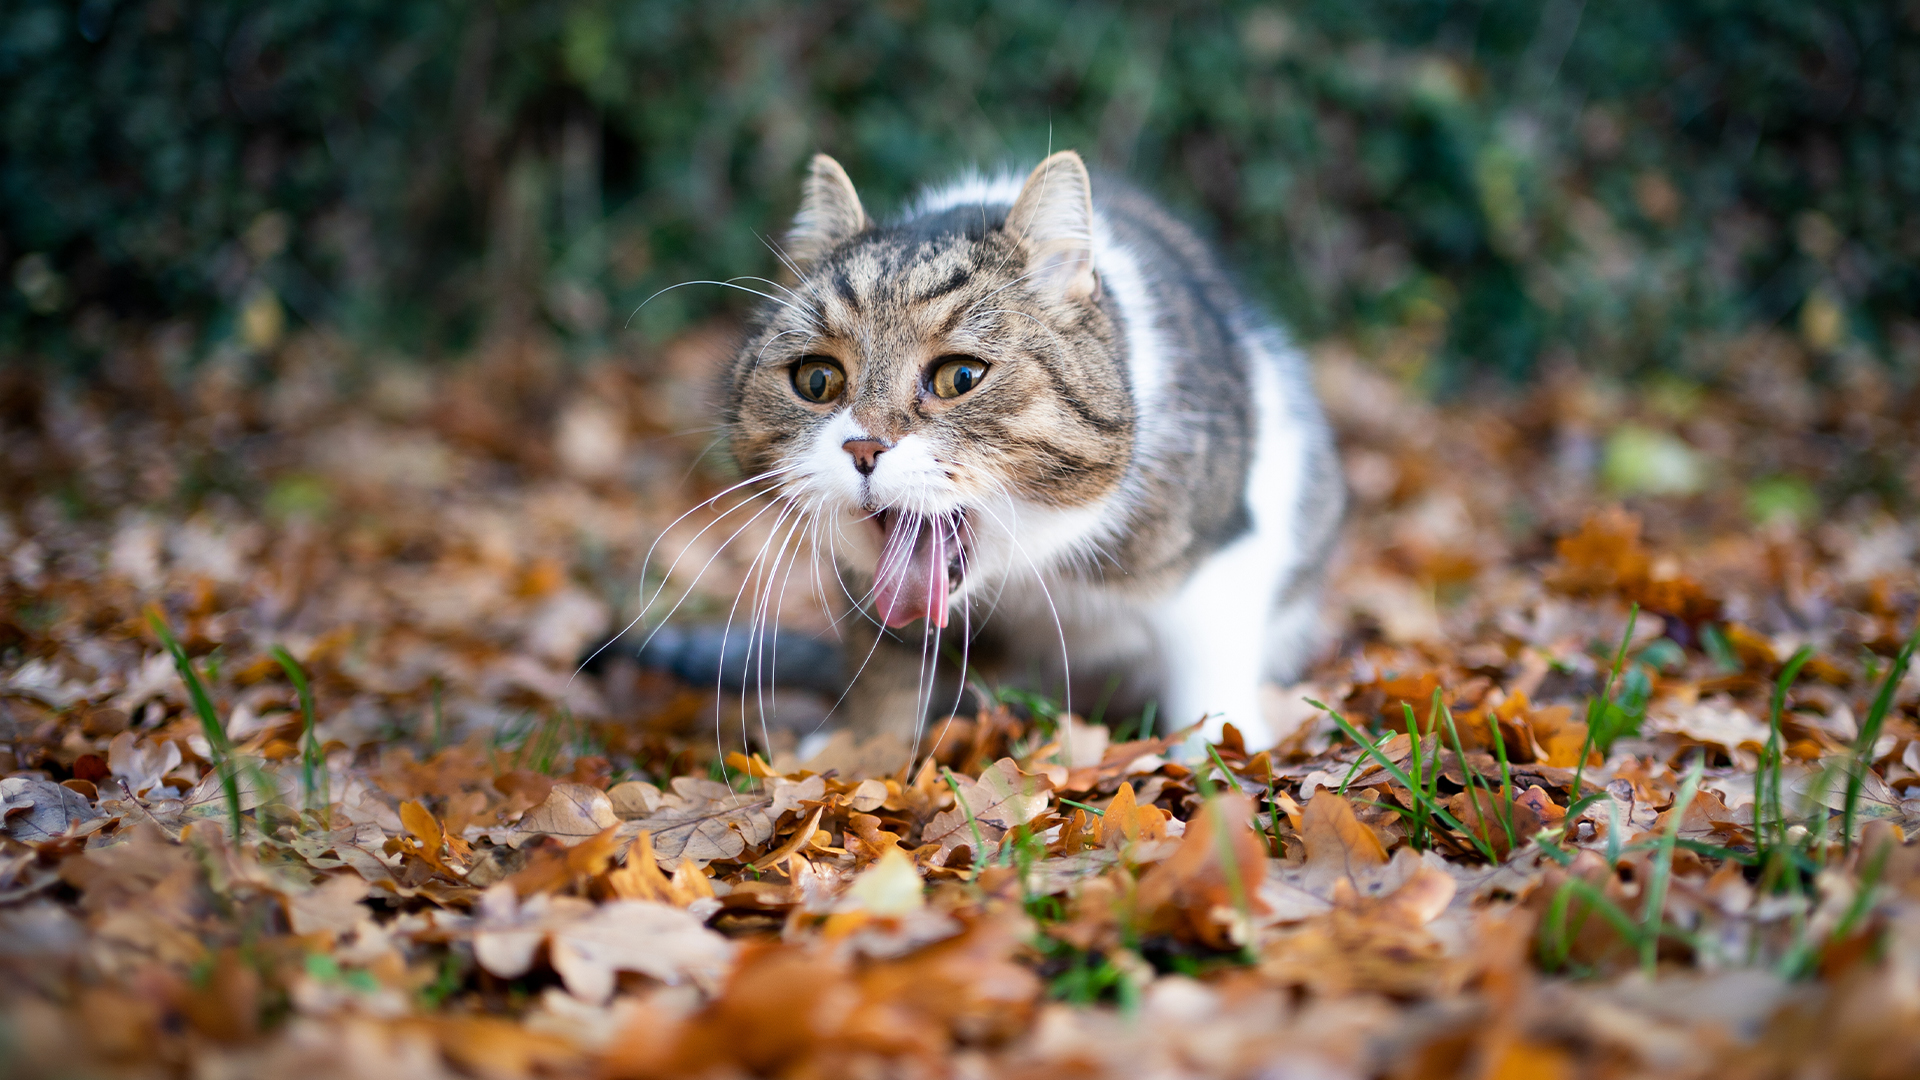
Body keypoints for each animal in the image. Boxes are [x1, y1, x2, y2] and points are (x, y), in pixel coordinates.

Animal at [721, 148, 1351, 749]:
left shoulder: (1222, 546)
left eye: (961, 376)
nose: (863, 447)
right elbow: (886, 668)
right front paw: (863, 752)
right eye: (817, 380)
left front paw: (1218, 760)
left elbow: (1209, 669)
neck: (1028, 567)